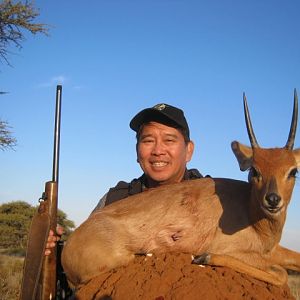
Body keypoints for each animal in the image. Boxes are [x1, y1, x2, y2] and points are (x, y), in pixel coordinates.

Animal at [61, 90, 300, 288]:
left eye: (293, 171)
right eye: (254, 170)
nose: (273, 199)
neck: (253, 216)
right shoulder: (233, 248)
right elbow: (281, 273)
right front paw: (205, 257)